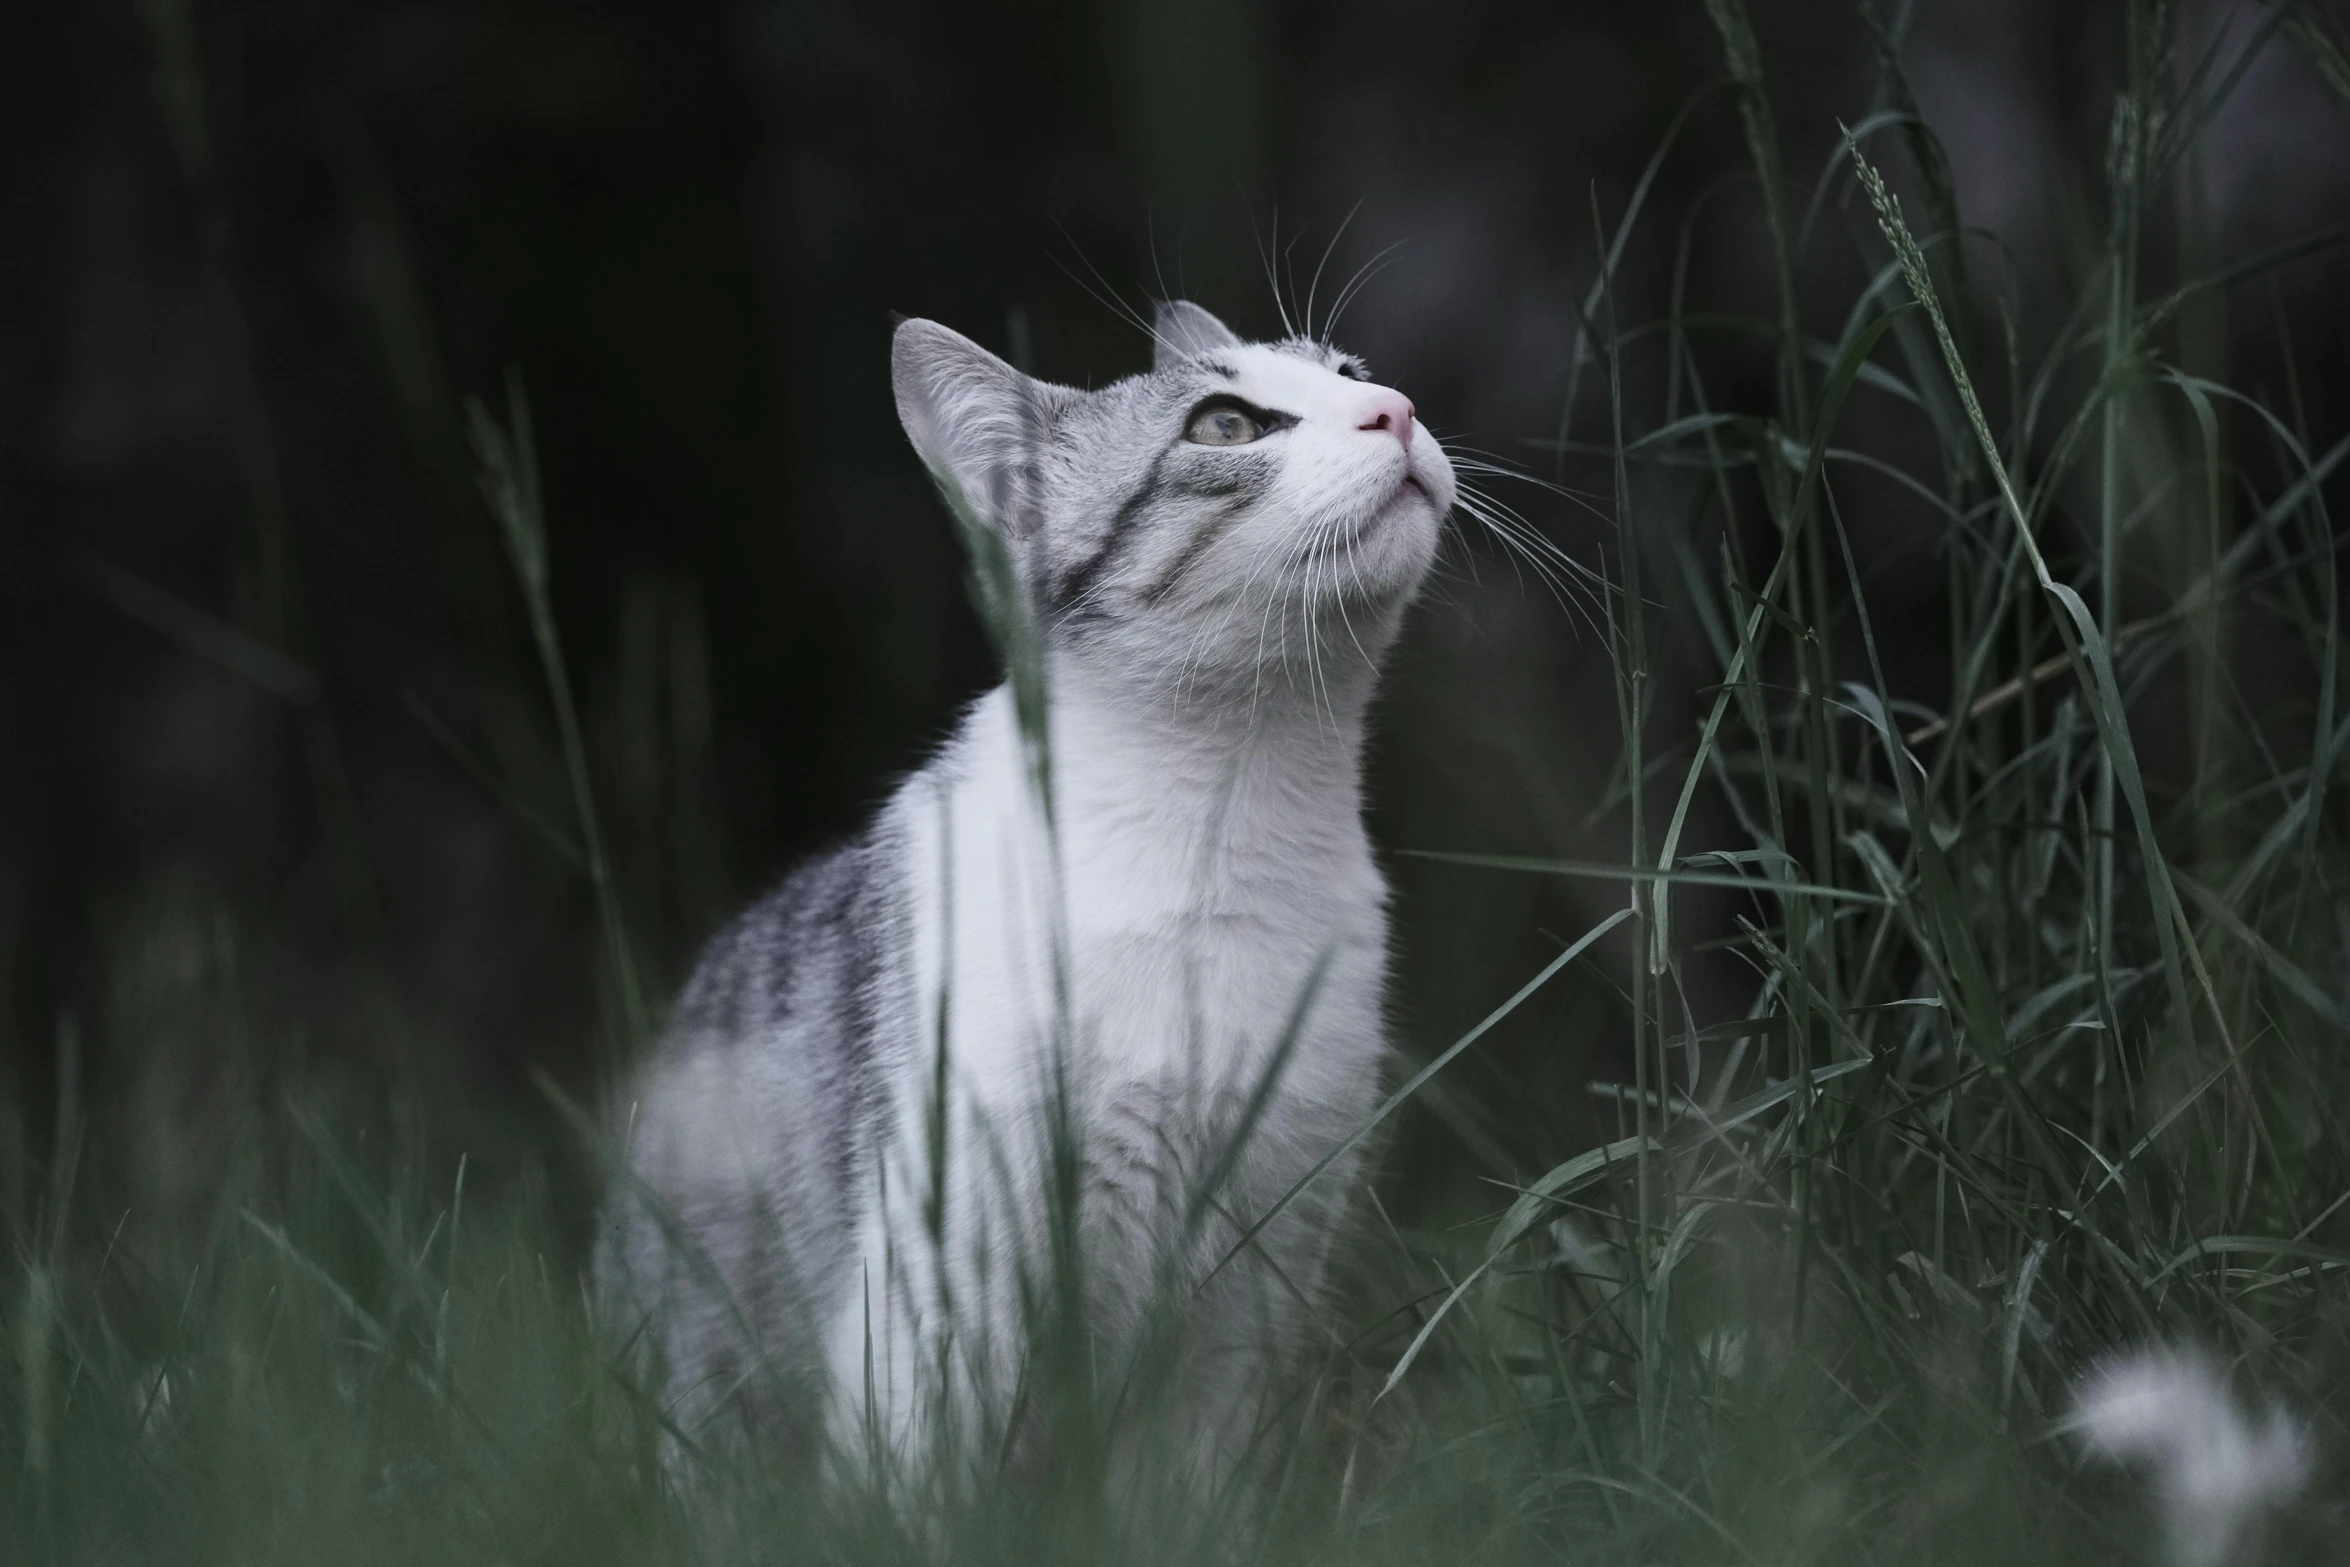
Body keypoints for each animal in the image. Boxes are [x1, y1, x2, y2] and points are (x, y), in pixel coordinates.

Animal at [592, 297, 1447, 1484]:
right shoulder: (938, 1288)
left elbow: (1188, 1490)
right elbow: (920, 1485)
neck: (1223, 825)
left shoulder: (1253, 1284)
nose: (1397, 409)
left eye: (1352, 371)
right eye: (1225, 424)